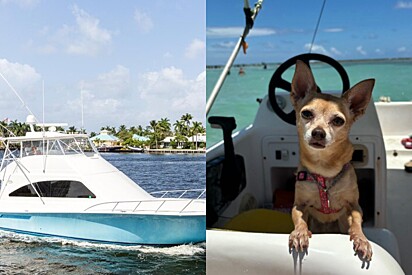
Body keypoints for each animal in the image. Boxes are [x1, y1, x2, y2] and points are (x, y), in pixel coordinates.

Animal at [288, 59, 374, 260]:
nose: (318, 132)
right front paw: (300, 233)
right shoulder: (299, 205)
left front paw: (361, 240)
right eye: (306, 114)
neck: (324, 169)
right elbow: (299, 219)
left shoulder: (354, 206)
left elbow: (357, 223)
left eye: (338, 121)